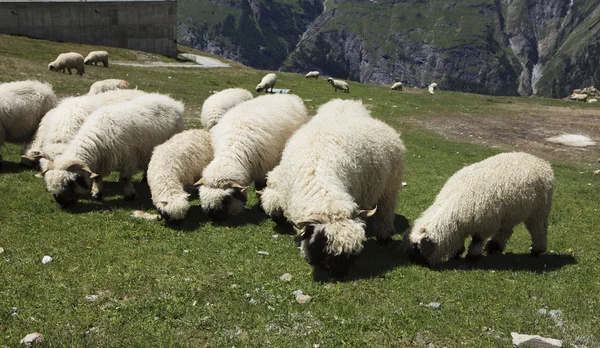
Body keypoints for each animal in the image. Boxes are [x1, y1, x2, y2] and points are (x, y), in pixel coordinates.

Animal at [41, 92, 184, 208]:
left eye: (69, 183)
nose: (62, 204)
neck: (97, 138)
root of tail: (171, 100)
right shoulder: (100, 160)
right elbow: (97, 177)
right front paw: (97, 194)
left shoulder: (128, 157)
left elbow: (125, 178)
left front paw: (129, 195)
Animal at [260, 99, 406, 278]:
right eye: (323, 244)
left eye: (353, 254)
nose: (339, 274)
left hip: (390, 188)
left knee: (386, 212)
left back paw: (383, 236)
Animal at [406, 151, 556, 266]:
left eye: (419, 247)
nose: (416, 262)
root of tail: (542, 162)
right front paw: (456, 253)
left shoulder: (484, 224)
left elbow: (477, 240)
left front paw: (472, 257)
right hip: (509, 211)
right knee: (506, 230)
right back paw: (494, 247)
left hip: (539, 210)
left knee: (539, 230)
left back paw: (537, 251)